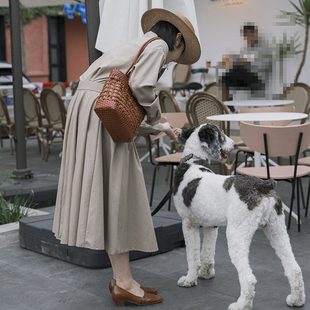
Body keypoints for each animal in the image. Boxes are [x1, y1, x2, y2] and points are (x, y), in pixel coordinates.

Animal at [173, 123, 306, 310]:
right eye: (221, 136)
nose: (234, 144)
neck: (193, 161)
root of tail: (262, 185)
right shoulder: (211, 226)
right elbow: (207, 253)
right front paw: (206, 273)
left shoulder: (188, 224)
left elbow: (192, 256)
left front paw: (190, 279)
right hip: (277, 230)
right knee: (294, 269)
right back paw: (296, 300)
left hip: (236, 234)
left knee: (248, 278)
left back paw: (241, 304)